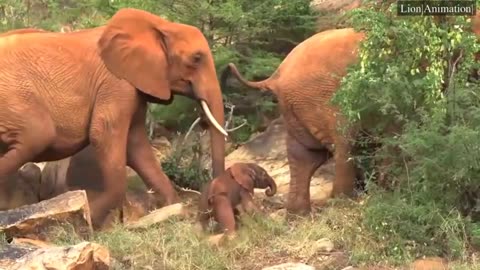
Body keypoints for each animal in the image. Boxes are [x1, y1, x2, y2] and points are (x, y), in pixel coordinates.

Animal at [0, 8, 228, 227]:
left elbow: (137, 147)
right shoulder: (116, 84)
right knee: (39, 134)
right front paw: (87, 224)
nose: (208, 209)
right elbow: (103, 134)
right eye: (196, 58)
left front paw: (174, 209)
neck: (160, 25)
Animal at [221, 28, 364, 215]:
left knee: (304, 155)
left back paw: (298, 214)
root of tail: (278, 75)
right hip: (327, 99)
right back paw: (346, 202)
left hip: (297, 106)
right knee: (344, 145)